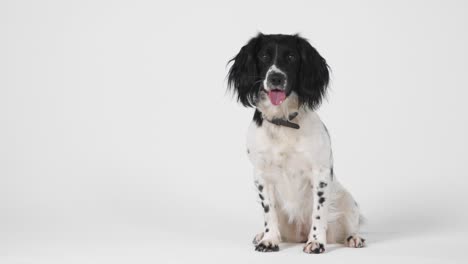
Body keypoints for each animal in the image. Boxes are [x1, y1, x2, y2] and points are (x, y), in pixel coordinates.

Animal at [227, 33, 366, 254]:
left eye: (291, 57)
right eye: (264, 56)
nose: (276, 77)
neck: (283, 121)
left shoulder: (320, 172)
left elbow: (319, 212)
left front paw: (316, 241)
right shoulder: (261, 174)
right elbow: (269, 212)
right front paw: (269, 239)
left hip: (347, 200)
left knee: (350, 224)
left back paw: (354, 238)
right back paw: (261, 235)